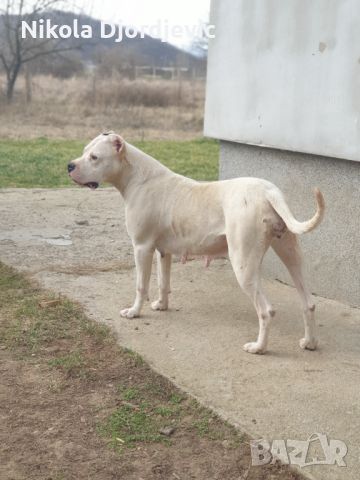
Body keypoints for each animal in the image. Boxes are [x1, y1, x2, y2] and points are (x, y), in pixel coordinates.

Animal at [69, 133, 324, 354]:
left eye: (94, 157)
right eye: (84, 151)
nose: (69, 166)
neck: (136, 177)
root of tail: (268, 192)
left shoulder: (141, 248)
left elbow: (141, 286)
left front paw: (133, 312)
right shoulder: (162, 251)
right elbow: (163, 282)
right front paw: (161, 305)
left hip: (243, 265)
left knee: (266, 311)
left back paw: (258, 348)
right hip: (290, 254)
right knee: (308, 302)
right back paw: (309, 342)